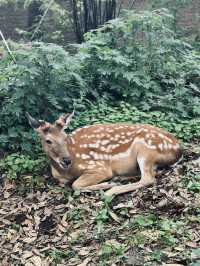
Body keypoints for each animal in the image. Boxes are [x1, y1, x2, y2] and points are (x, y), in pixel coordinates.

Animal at [25, 111, 182, 196]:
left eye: (65, 137)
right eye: (48, 141)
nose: (66, 160)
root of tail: (178, 148)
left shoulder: (99, 167)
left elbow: (75, 185)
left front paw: (107, 184)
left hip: (146, 150)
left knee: (148, 178)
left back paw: (111, 190)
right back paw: (118, 179)